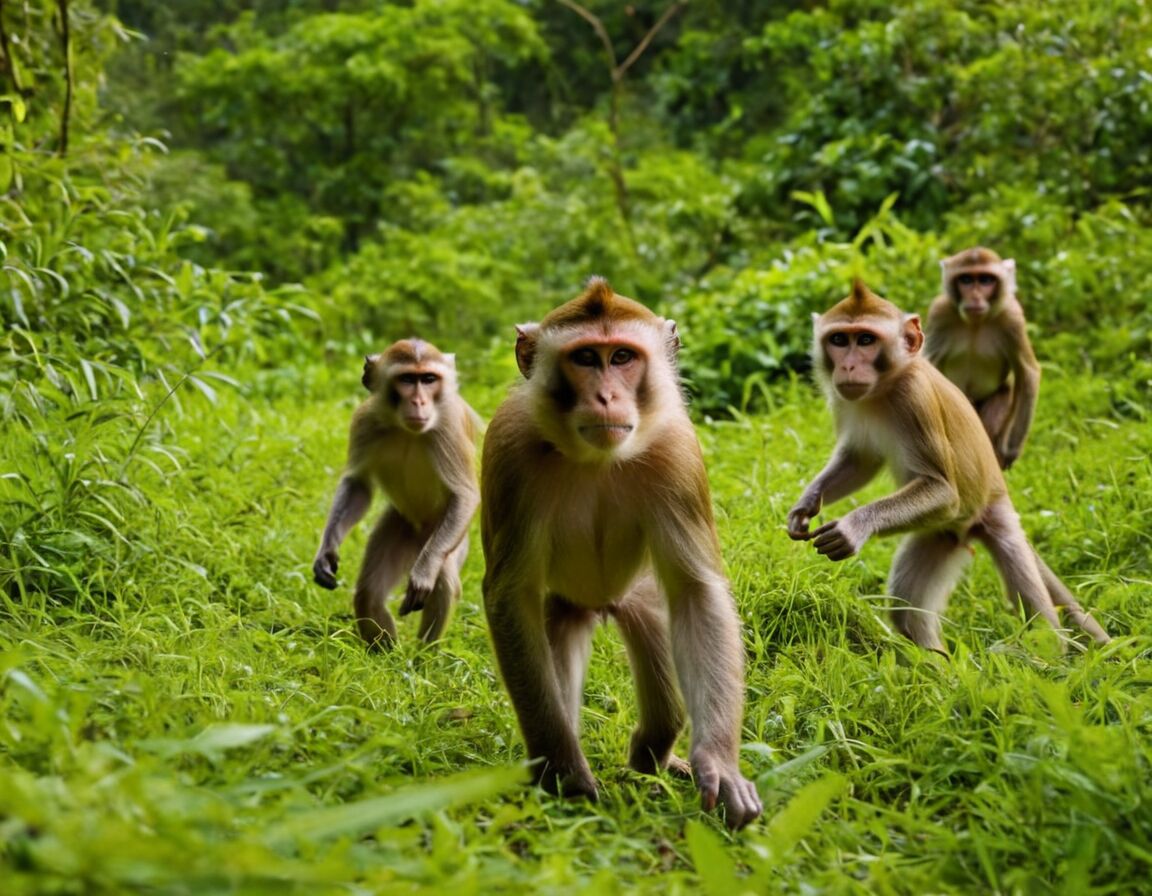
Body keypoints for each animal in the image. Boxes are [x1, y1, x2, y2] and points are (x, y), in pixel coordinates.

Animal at [313, 339, 481, 649]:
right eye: (407, 380)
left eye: (428, 379)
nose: (419, 402)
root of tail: (420, 536)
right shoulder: (365, 420)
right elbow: (358, 484)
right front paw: (327, 550)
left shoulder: (448, 428)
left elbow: (464, 496)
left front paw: (423, 576)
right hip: (400, 527)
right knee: (369, 592)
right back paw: (385, 654)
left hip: (450, 539)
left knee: (444, 581)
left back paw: (423, 656)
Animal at [480, 277, 763, 830]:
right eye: (586, 358)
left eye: (623, 357)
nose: (607, 396)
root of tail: (601, 603)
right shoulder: (510, 452)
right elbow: (509, 596)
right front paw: (565, 773)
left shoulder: (677, 451)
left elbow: (696, 592)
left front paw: (718, 765)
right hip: (566, 605)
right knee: (555, 642)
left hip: (638, 597)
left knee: (662, 670)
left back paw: (655, 756)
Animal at [787, 280, 1110, 654]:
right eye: (839, 340)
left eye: (866, 340)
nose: (849, 366)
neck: (884, 387)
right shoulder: (845, 402)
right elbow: (860, 460)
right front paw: (806, 505)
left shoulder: (914, 400)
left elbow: (943, 490)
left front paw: (853, 526)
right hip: (939, 533)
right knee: (907, 608)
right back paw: (935, 662)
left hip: (994, 515)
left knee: (1029, 593)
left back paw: (1048, 652)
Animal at [924, 247, 1040, 469]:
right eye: (966, 280)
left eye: (986, 280)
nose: (975, 296)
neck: (975, 323)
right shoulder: (939, 313)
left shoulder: (1012, 317)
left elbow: (1028, 373)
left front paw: (1010, 450)